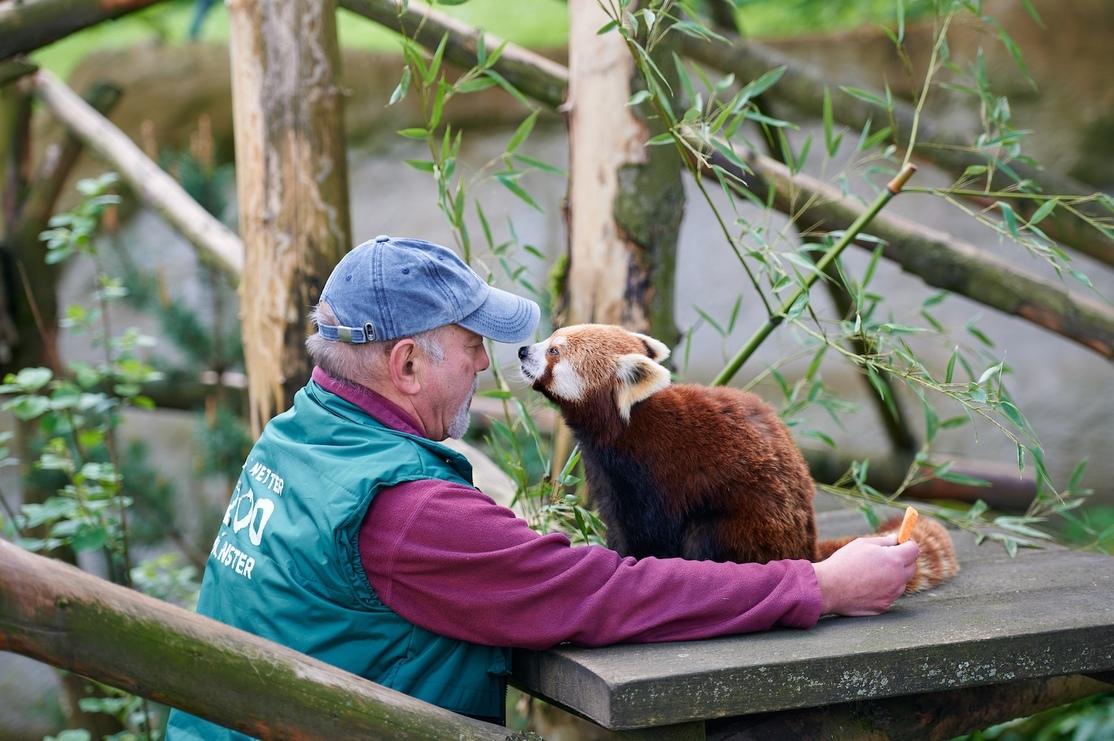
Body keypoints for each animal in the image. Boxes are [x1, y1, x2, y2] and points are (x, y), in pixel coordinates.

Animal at [519, 323, 958, 593]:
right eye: (550, 339)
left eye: (554, 350)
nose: (523, 350)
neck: (627, 423)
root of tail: (806, 547)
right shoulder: (607, 473)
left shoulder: (652, 473)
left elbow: (647, 532)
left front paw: (630, 561)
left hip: (745, 523)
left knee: (709, 536)